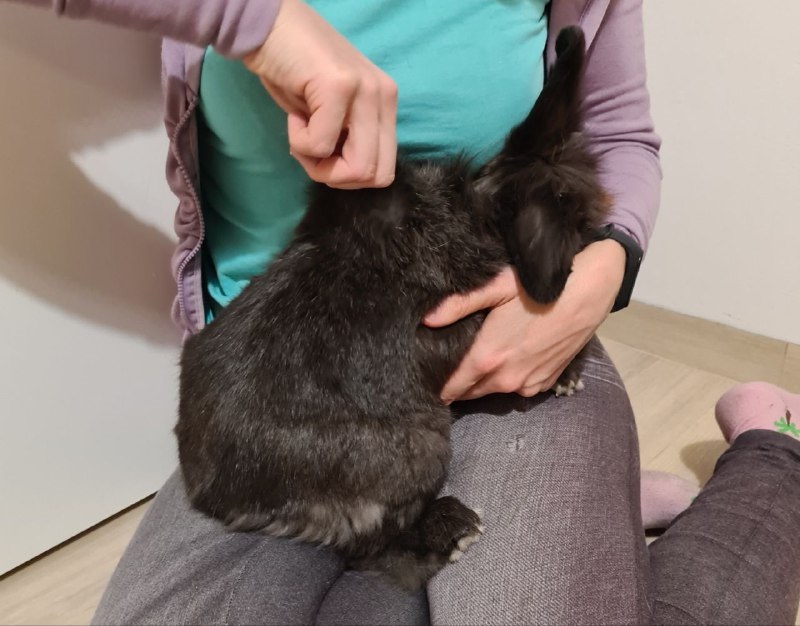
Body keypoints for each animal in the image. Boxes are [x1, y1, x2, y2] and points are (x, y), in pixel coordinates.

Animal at [176, 26, 610, 590]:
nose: (607, 238)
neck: (482, 213)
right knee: (371, 549)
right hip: (421, 447)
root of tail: (211, 490)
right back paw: (453, 531)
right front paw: (570, 371)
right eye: (577, 221)